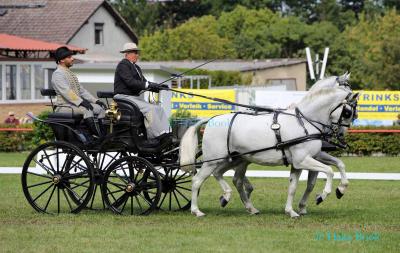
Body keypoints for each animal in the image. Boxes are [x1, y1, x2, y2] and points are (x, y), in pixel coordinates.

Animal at [180, 74, 358, 216]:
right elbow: (328, 172)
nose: (341, 136)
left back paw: (235, 200)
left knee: (224, 176)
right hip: (213, 161)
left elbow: (297, 185)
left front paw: (293, 210)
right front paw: (324, 194)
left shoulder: (303, 161)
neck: (305, 121)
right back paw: (197, 210)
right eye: (348, 112)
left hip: (235, 159)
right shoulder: (303, 160)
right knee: (197, 180)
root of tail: (211, 119)